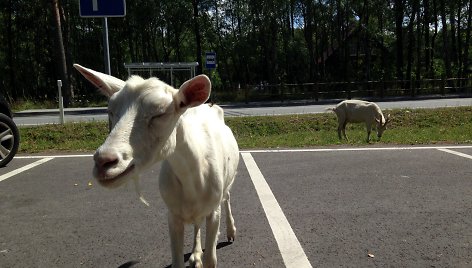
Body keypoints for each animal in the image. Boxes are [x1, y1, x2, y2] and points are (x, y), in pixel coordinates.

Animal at [75, 63, 242, 266]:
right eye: (110, 111)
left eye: (160, 113)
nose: (103, 161)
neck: (193, 178)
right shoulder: (173, 215)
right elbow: (177, 260)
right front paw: (195, 255)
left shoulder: (213, 211)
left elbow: (211, 258)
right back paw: (195, 254)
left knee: (227, 198)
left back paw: (231, 231)